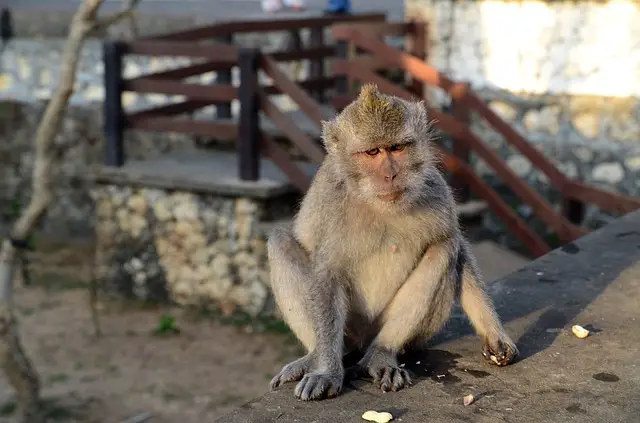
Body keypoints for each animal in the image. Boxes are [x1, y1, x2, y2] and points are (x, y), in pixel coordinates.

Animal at [268, 82, 516, 400]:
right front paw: (326, 370)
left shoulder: (436, 192)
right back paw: (314, 357)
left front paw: (493, 332)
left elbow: (455, 244)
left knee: (444, 249)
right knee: (279, 241)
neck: (377, 204)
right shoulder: (330, 203)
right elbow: (327, 274)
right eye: (372, 152)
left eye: (397, 148)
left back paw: (382, 355)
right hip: (349, 331)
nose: (390, 174)